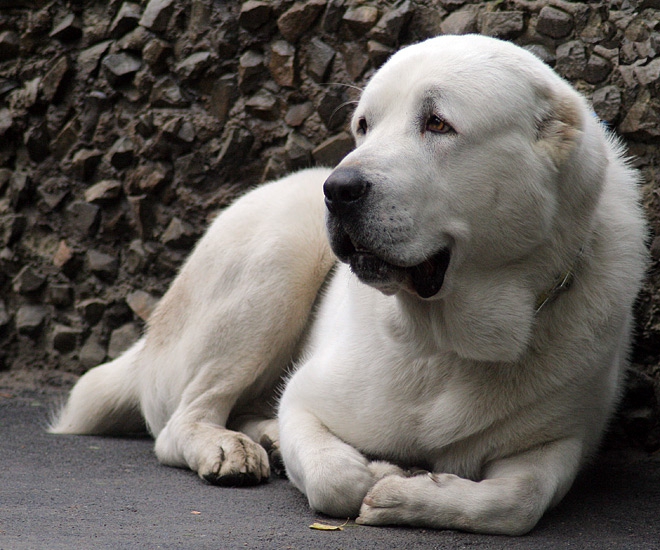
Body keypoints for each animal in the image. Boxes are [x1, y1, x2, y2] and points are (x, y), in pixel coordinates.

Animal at [50, 36, 644, 536]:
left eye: (437, 123)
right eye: (364, 126)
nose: (338, 189)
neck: (448, 341)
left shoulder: (561, 442)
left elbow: (516, 501)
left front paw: (412, 494)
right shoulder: (306, 397)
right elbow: (338, 478)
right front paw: (381, 476)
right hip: (276, 257)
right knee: (182, 420)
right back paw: (229, 447)